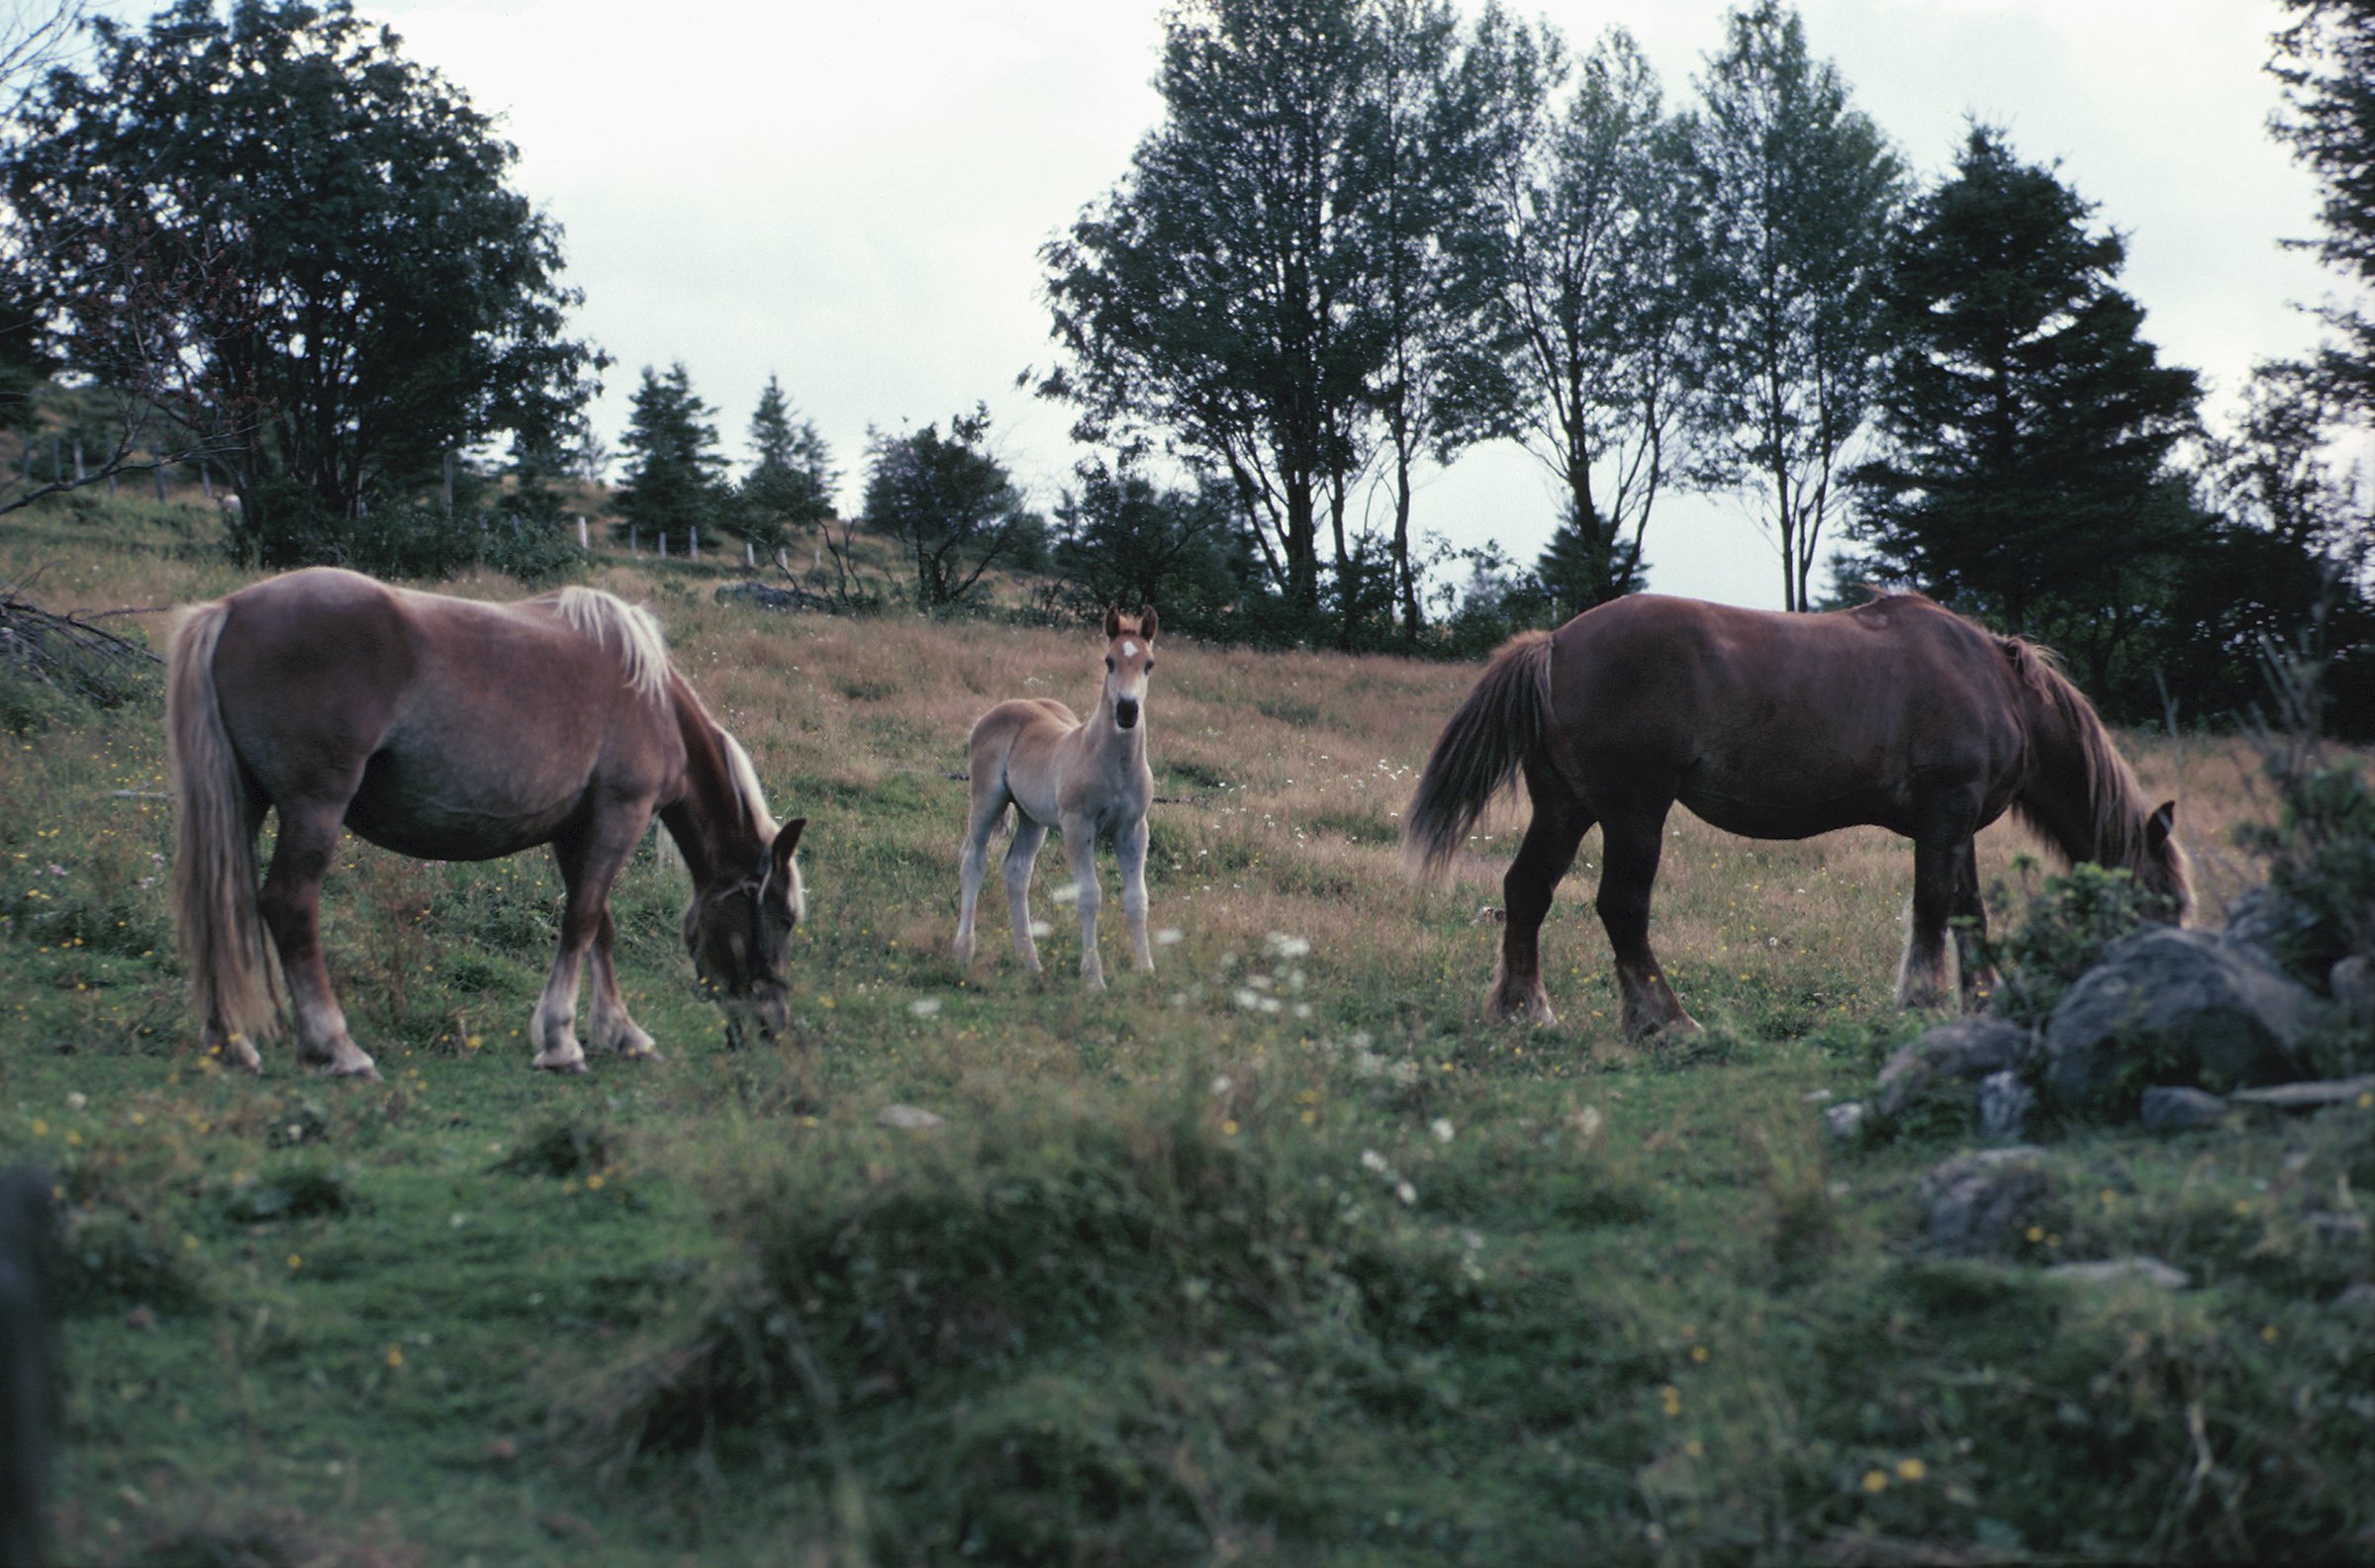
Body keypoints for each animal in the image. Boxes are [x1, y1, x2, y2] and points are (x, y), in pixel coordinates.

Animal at [166, 566, 807, 1079]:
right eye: (782, 917)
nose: (774, 1025)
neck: (651, 697)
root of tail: (229, 609)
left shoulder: (575, 832)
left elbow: (599, 926)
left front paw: (621, 1033)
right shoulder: (618, 817)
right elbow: (581, 922)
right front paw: (561, 1042)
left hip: (247, 803)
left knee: (219, 901)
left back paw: (230, 1044)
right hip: (313, 808)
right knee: (289, 905)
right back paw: (338, 1049)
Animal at [954, 607, 1158, 990]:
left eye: (1149, 664)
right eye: (1108, 661)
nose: (1127, 710)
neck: (1112, 764)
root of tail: (994, 712)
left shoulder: (1134, 829)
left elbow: (1137, 898)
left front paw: (1146, 970)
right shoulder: (1078, 826)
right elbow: (1089, 895)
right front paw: (1093, 978)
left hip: (1032, 818)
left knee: (1017, 871)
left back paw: (1029, 962)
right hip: (987, 799)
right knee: (973, 860)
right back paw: (963, 951)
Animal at [1403, 592, 2191, 1039]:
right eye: (2166, 904)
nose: (2156, 987)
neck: (1993, 682)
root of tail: (1555, 645)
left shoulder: (1958, 825)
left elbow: (1968, 910)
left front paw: (1980, 999)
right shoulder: (1947, 811)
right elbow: (1934, 907)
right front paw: (1923, 999)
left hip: (1566, 808)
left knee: (1527, 892)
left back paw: (1524, 1010)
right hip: (1634, 812)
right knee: (1622, 907)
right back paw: (1666, 1020)